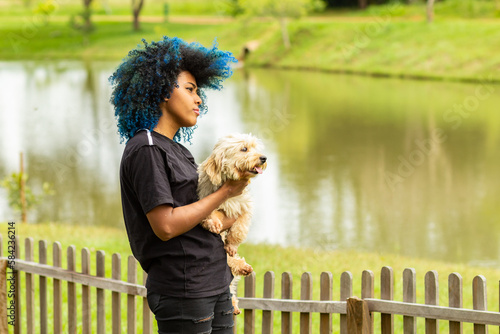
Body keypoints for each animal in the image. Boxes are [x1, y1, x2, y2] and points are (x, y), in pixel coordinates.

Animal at [197, 132, 268, 314]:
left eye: (254, 148)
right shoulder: (204, 200)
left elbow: (239, 229)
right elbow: (212, 212)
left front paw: (232, 244)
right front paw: (214, 222)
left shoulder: (244, 208)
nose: (263, 158)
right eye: (244, 149)